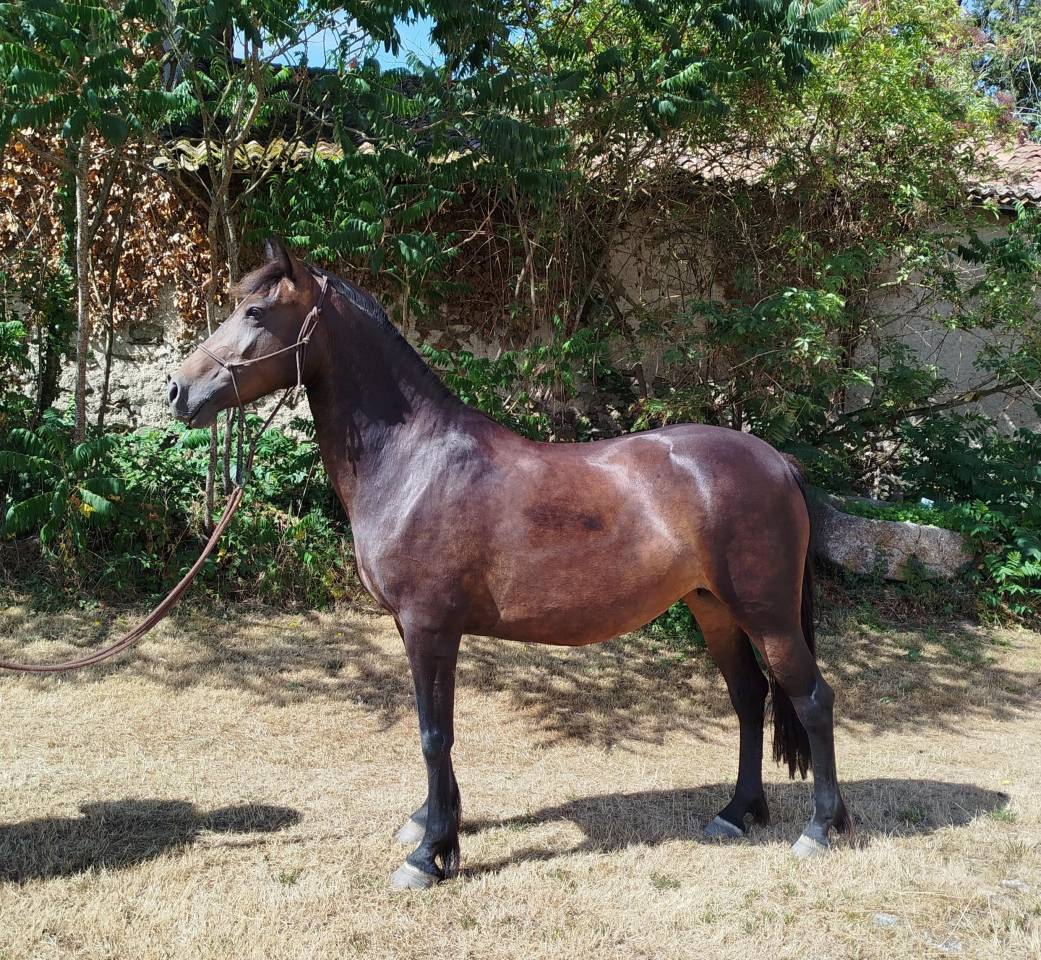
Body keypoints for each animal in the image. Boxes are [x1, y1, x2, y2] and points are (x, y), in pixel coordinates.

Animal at [167, 238, 851, 890]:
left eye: (256, 313)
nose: (179, 391)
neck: (416, 460)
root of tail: (776, 461)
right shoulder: (413, 628)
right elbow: (434, 730)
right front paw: (435, 822)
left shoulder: (430, 626)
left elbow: (433, 735)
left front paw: (428, 856)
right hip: (713, 608)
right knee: (749, 698)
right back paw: (736, 813)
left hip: (766, 613)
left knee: (812, 698)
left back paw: (820, 828)